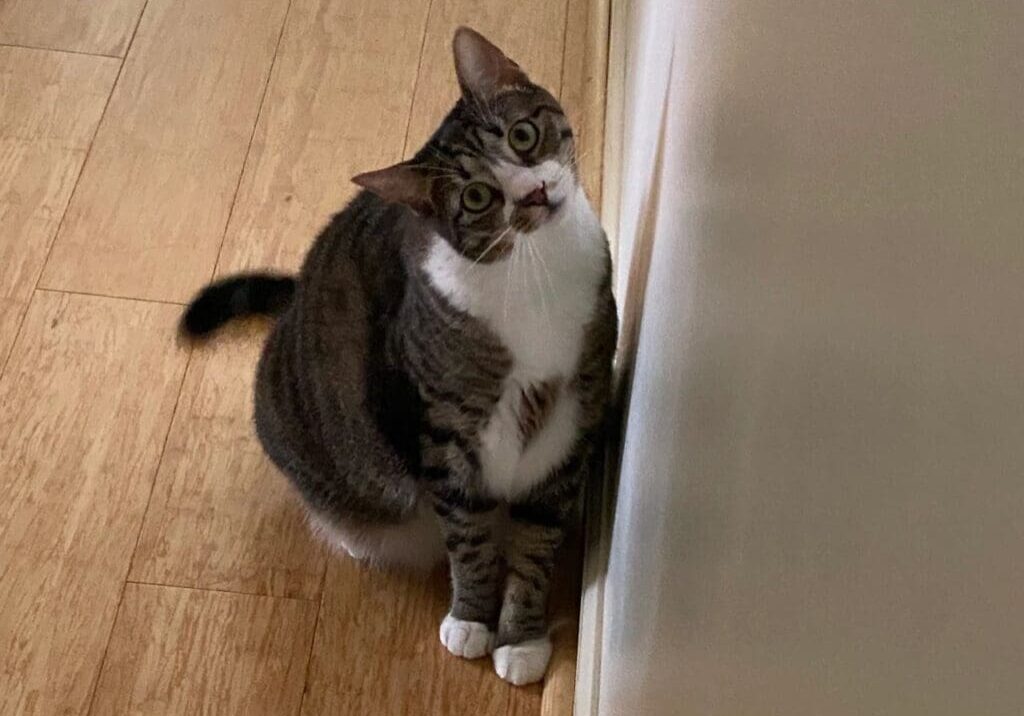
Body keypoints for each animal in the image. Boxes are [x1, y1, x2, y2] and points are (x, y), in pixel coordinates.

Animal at [181, 29, 614, 688]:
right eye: (478, 197)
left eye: (522, 136)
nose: (535, 193)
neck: (537, 271)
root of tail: (295, 300)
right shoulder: (443, 432)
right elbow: (469, 538)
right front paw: (472, 619)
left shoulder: (574, 415)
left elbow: (537, 541)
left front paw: (521, 639)